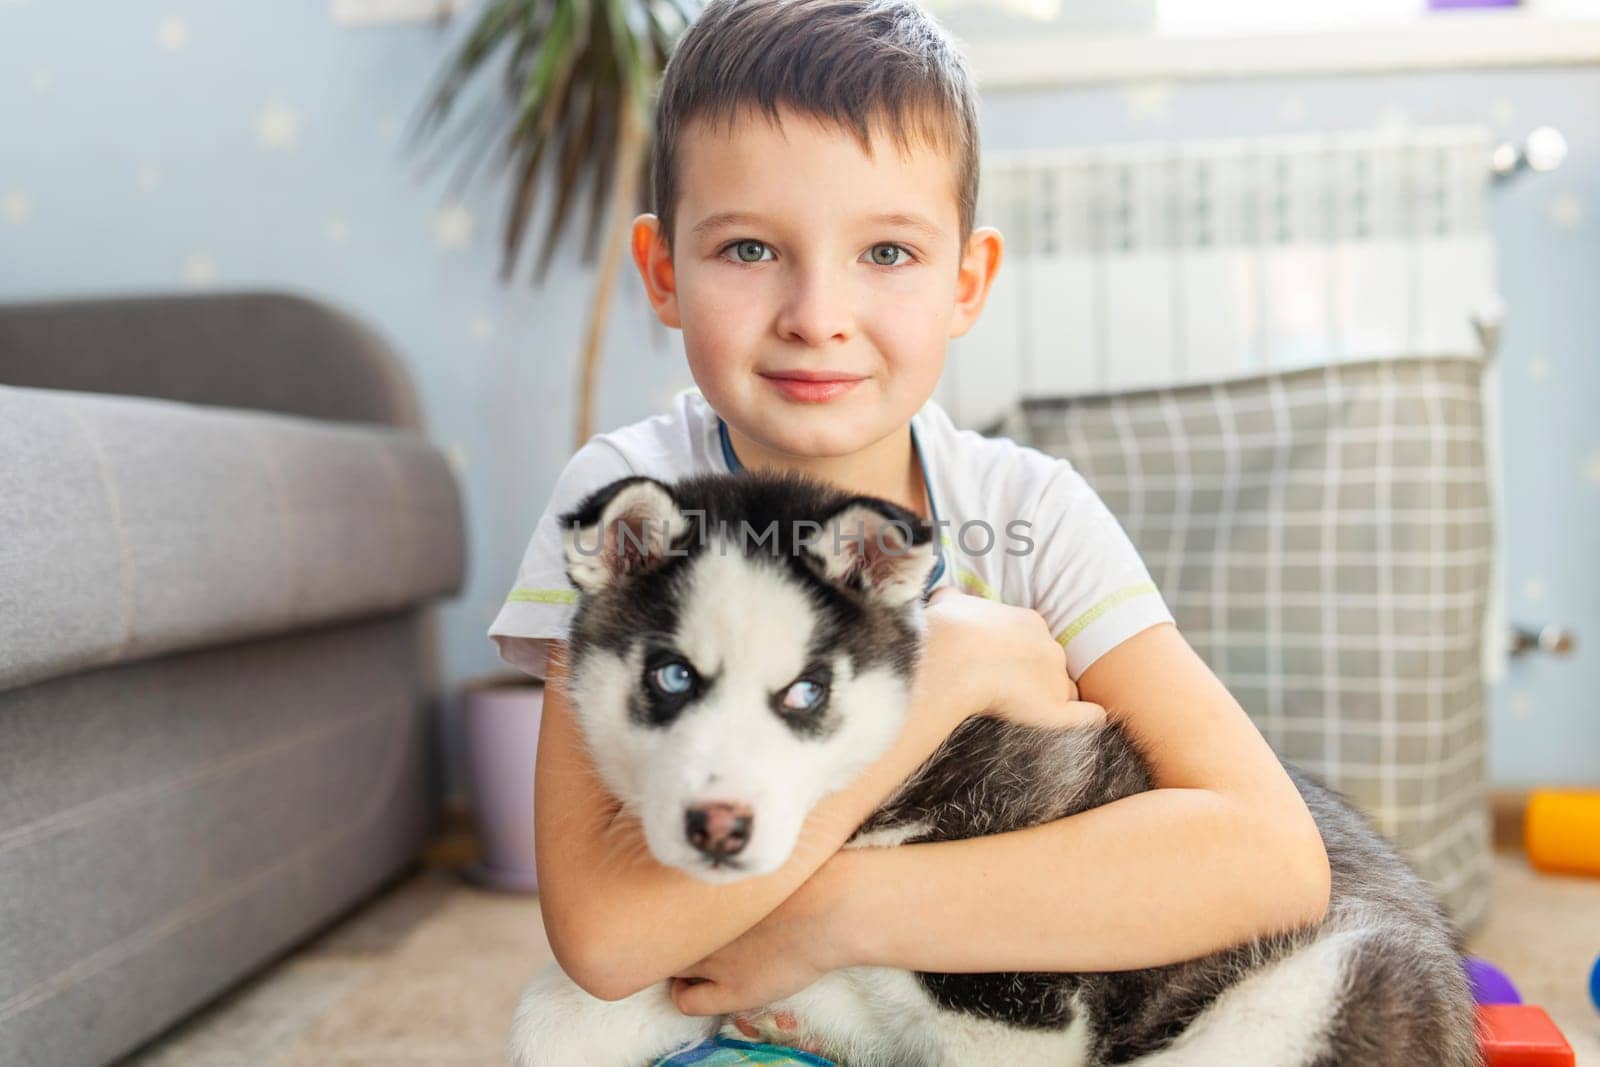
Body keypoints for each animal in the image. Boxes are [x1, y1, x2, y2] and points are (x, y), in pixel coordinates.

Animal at [505, 470, 1478, 1062]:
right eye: (671, 676)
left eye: (808, 690)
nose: (719, 827)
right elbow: (552, 1019)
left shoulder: (1019, 1009)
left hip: (1341, 977)